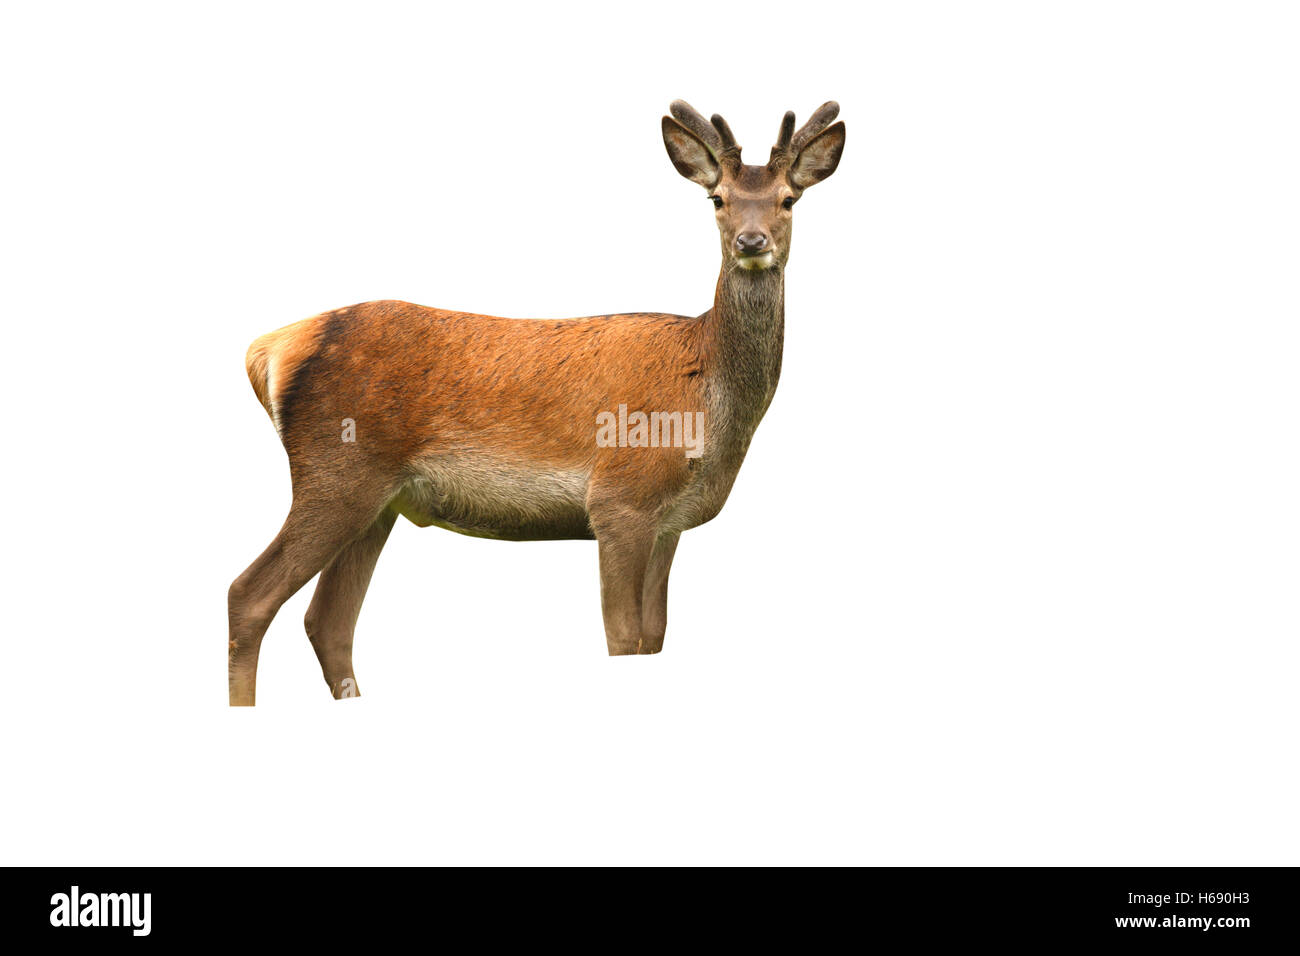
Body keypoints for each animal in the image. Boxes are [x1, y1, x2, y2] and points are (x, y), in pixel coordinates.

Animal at [230, 102, 847, 702]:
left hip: (379, 500)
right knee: (250, 596)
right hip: (336, 470)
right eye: (717, 199)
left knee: (328, 621)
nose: (751, 242)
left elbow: (654, 638)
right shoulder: (619, 500)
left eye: (788, 199)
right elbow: (622, 639)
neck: (706, 409)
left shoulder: (670, 522)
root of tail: (269, 348)